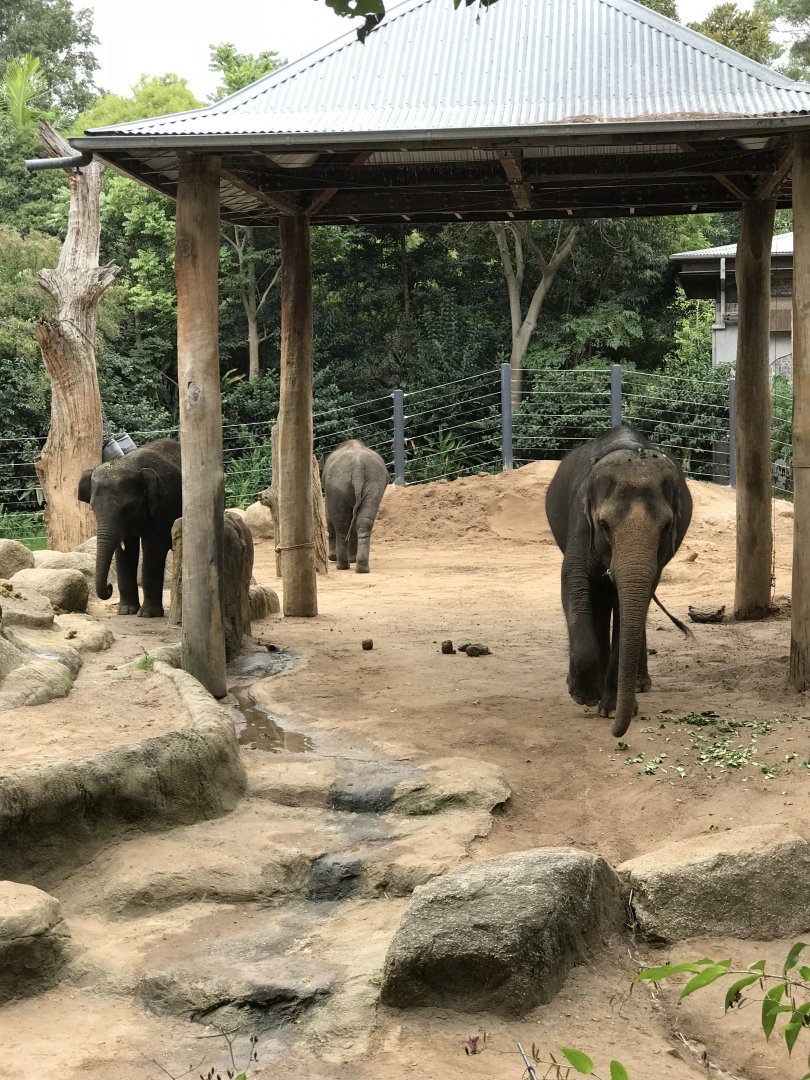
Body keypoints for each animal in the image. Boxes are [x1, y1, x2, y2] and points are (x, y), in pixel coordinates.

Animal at [77, 438, 182, 617]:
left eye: (128, 508)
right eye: (92, 508)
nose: (109, 587)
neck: (132, 463)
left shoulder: (165, 503)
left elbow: (154, 547)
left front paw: (147, 614)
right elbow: (126, 551)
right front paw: (126, 611)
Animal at [321, 440, 389, 573]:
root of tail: (358, 466)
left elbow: (329, 516)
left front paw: (332, 557)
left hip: (337, 485)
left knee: (341, 525)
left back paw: (342, 566)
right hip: (374, 484)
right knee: (364, 522)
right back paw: (361, 568)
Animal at [544, 425, 692, 738]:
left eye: (666, 527)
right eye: (603, 525)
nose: (616, 731)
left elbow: (635, 601)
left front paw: (611, 708)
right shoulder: (581, 523)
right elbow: (574, 582)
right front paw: (585, 695)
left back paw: (638, 685)